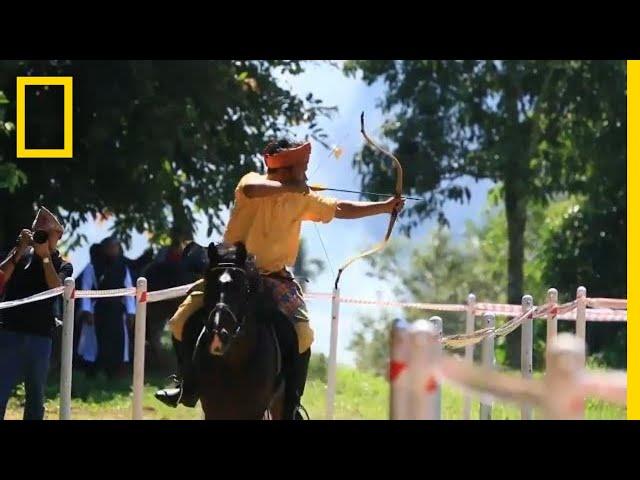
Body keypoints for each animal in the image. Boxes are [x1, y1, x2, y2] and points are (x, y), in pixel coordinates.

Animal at [181, 242, 288, 418]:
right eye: (209, 285)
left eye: (241, 288)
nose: (218, 336)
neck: (235, 361)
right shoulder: (212, 408)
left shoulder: (254, 410)